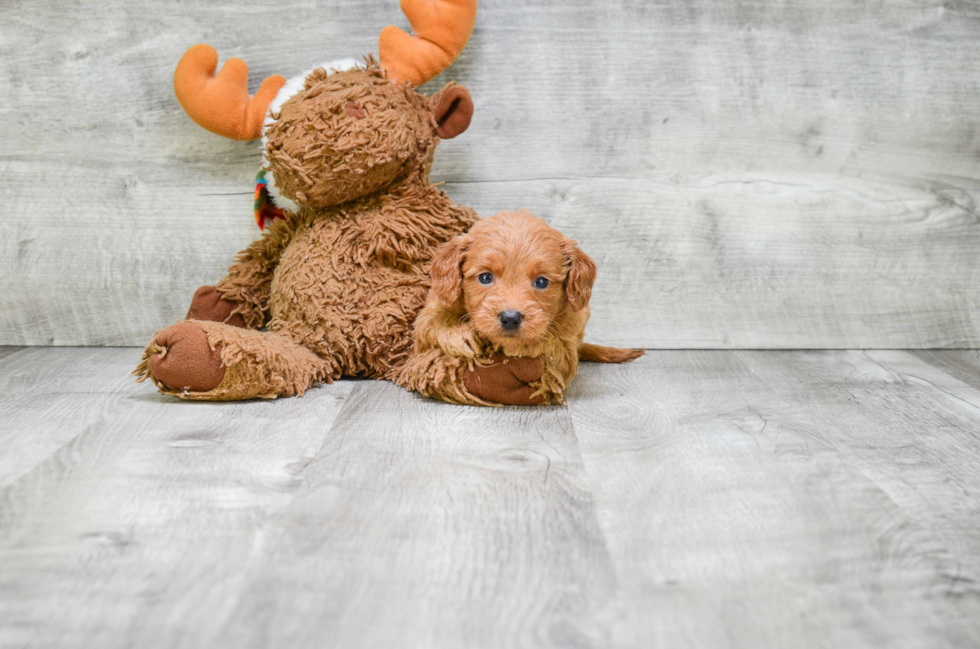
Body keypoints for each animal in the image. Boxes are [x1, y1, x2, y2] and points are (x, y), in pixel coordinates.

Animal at [398, 209, 644, 404]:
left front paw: (526, 345)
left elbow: (553, 346)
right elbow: (433, 323)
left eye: (541, 282)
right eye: (485, 277)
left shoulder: (568, 347)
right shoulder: (428, 318)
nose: (510, 318)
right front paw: (459, 334)